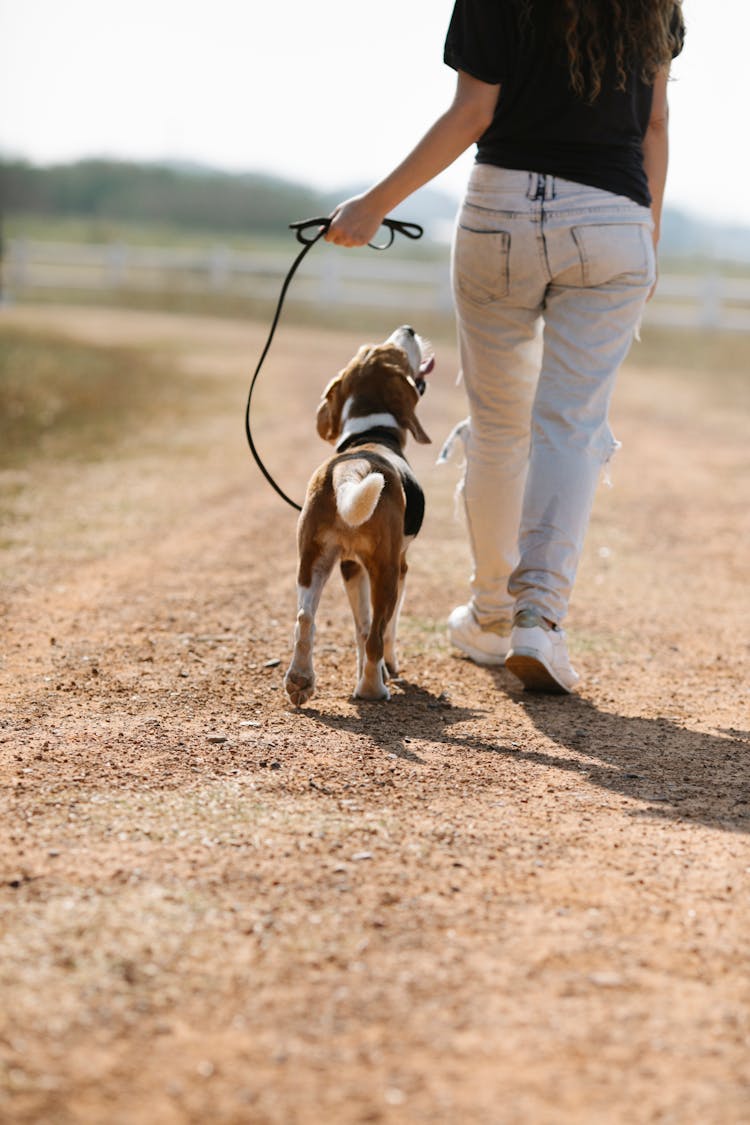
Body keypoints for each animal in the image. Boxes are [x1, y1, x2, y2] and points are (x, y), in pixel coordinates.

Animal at [283, 326, 434, 706]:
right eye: (397, 352)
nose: (408, 329)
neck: (370, 434)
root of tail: (353, 467)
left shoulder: (350, 567)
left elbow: (360, 628)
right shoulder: (400, 565)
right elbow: (383, 631)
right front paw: (388, 669)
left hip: (313, 561)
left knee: (305, 619)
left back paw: (300, 681)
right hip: (386, 571)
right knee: (378, 634)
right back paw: (372, 689)